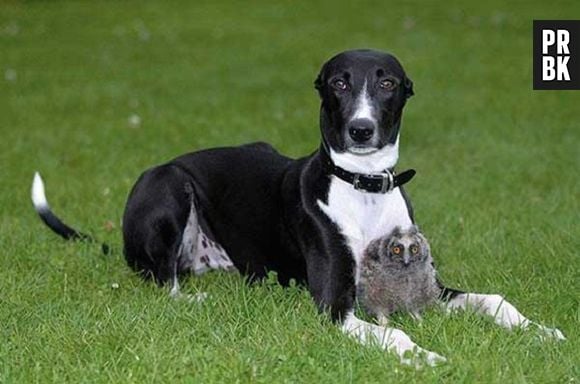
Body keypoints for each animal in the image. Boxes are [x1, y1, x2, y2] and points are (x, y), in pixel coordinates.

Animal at [30, 48, 560, 366]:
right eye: (339, 84)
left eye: (387, 83)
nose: (361, 130)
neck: (363, 186)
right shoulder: (335, 307)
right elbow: (392, 333)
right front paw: (425, 357)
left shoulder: (429, 281)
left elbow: (492, 299)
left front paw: (540, 331)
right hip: (170, 186)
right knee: (163, 280)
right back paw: (190, 297)